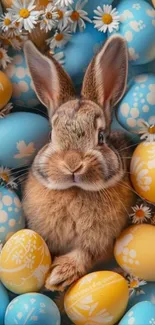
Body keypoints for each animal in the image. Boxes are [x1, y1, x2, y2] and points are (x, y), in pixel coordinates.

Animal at [22, 35, 134, 292]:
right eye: (51, 135)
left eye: (101, 137)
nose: (72, 164)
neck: (74, 190)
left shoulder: (101, 242)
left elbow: (84, 254)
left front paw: (58, 276)